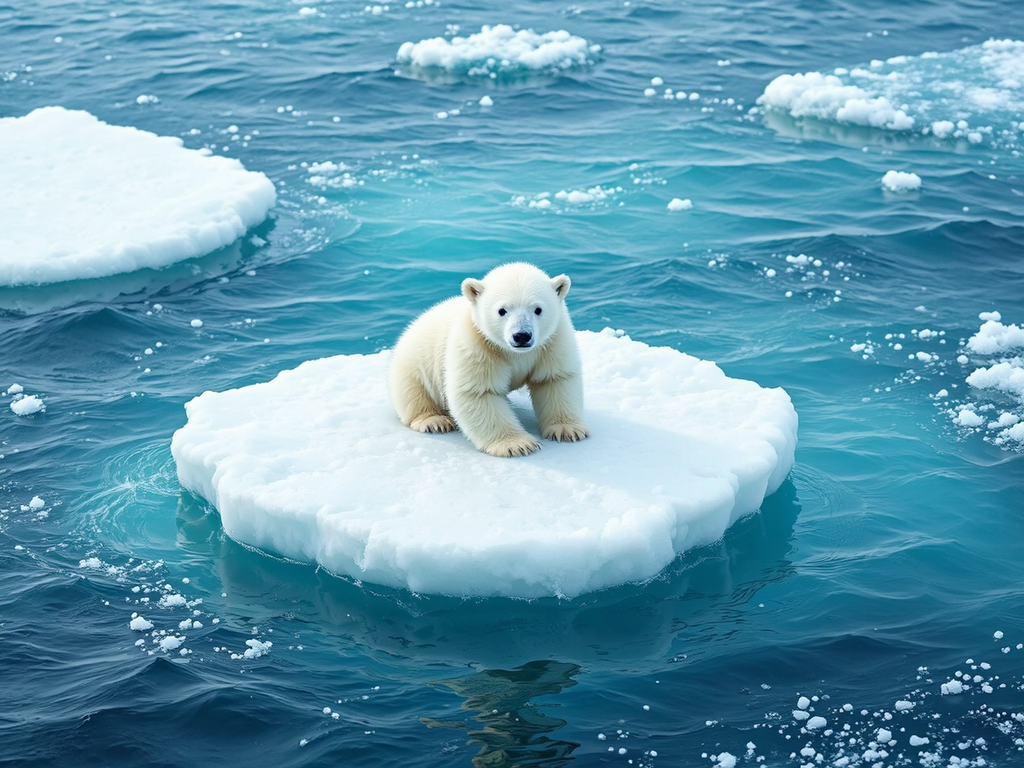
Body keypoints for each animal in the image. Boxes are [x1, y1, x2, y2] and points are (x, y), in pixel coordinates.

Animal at [388, 262, 590, 457]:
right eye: (502, 310)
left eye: (538, 309)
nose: (521, 336)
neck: (515, 352)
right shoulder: (478, 344)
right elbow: (478, 392)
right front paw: (517, 445)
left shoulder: (552, 341)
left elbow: (555, 379)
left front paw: (567, 430)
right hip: (413, 365)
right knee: (414, 393)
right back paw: (435, 421)